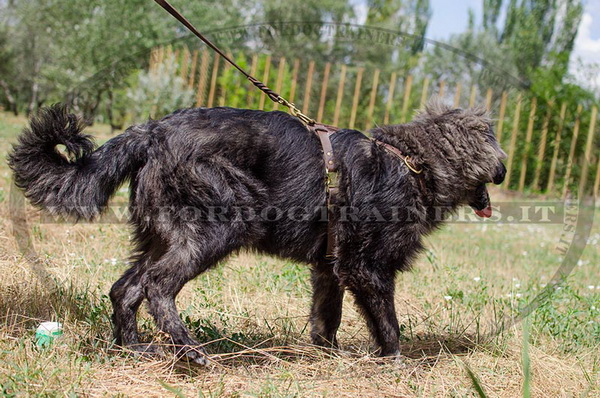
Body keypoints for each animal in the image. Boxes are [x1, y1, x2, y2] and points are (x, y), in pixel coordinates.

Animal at [9, 102, 506, 364]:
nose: (505, 170)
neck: (413, 163)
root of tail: (153, 131)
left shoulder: (330, 269)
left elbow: (326, 320)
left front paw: (328, 359)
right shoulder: (367, 268)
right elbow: (389, 323)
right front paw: (396, 364)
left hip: (161, 236)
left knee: (125, 288)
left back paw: (135, 349)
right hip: (217, 227)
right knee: (157, 286)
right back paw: (190, 350)